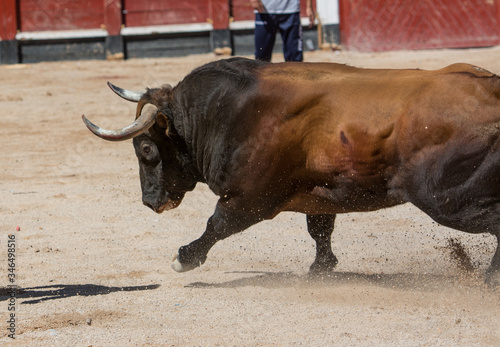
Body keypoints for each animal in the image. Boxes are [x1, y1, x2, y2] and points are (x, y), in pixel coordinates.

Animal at [82, 57, 500, 288]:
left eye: (146, 149)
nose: (150, 201)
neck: (226, 112)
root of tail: (491, 89)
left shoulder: (251, 199)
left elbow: (217, 224)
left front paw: (184, 258)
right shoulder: (322, 192)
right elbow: (320, 229)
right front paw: (321, 267)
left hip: (448, 198)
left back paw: (489, 280)